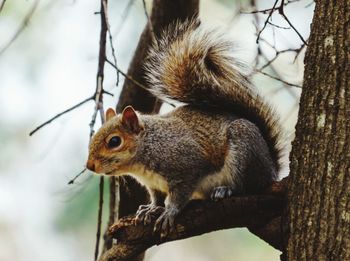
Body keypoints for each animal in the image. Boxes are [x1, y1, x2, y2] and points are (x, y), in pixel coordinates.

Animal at [86, 19, 284, 236]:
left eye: (114, 141)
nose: (90, 166)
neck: (148, 148)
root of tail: (272, 169)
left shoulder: (187, 166)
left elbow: (180, 195)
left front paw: (169, 212)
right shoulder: (154, 185)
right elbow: (156, 198)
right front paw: (151, 209)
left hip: (244, 150)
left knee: (248, 185)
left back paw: (226, 190)